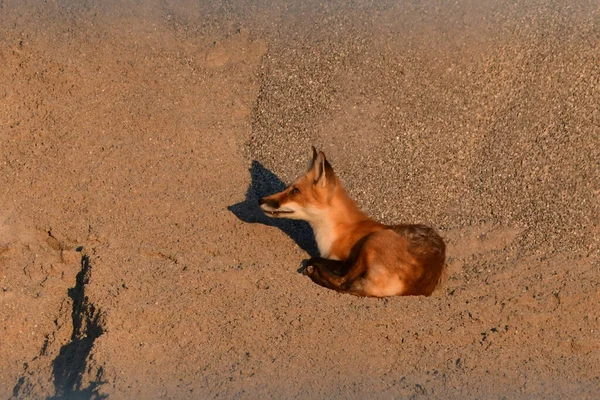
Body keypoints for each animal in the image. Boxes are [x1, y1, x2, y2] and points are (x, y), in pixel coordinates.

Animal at [258, 148, 446, 296]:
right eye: (288, 188)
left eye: (294, 191)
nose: (260, 199)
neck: (338, 232)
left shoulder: (345, 257)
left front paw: (315, 267)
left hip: (373, 242)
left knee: (344, 283)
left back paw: (315, 273)